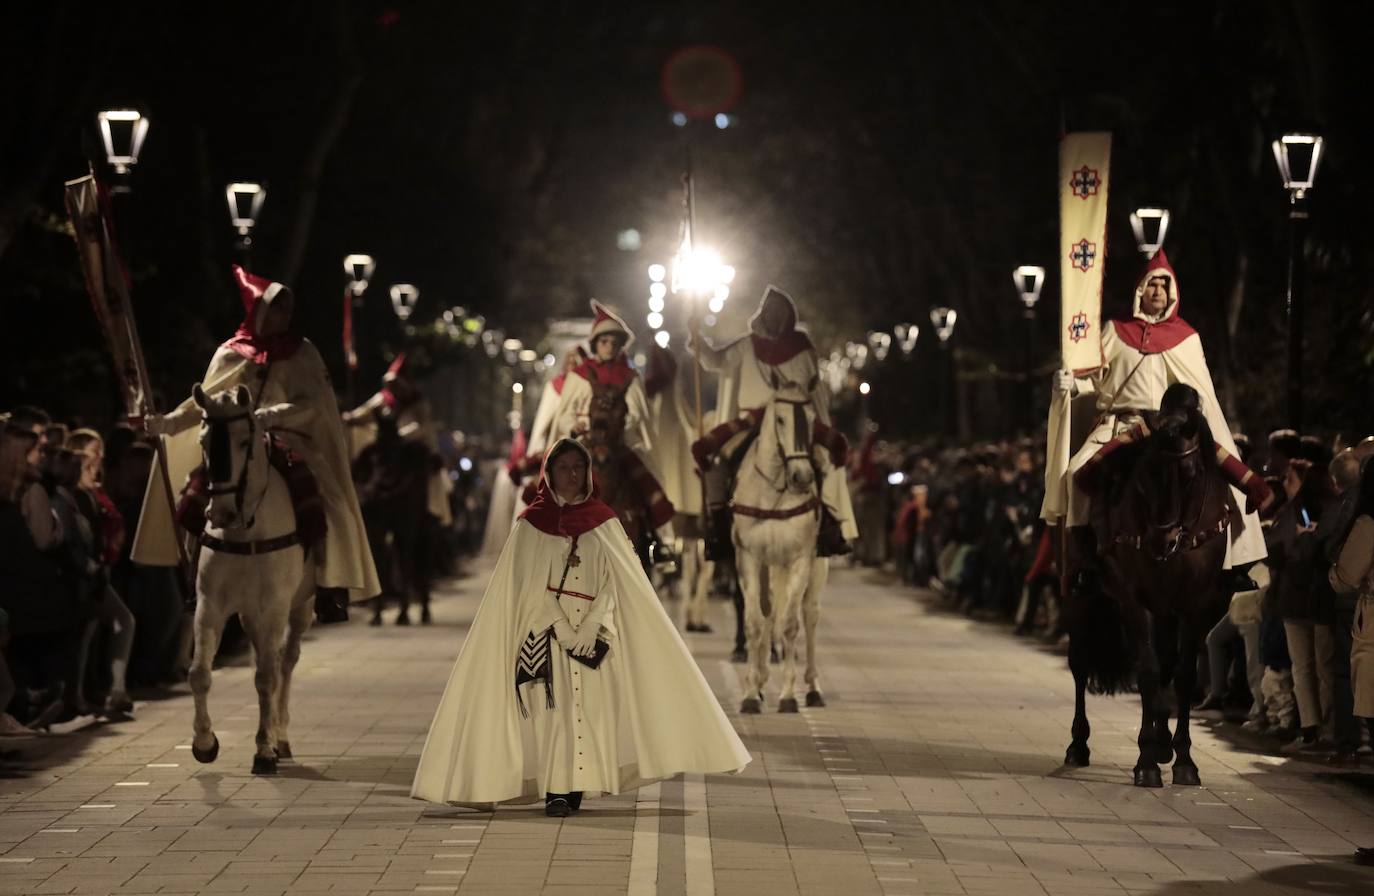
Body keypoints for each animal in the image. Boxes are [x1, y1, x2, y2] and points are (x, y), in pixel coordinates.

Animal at [188, 382, 314, 775]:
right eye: (203, 440)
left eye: (246, 441)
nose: (221, 513)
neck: (246, 532)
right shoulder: (210, 606)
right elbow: (199, 673)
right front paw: (204, 742)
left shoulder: (274, 607)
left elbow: (266, 678)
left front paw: (263, 750)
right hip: (249, 614)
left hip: (299, 607)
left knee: (285, 662)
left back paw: (280, 737)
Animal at [730, 398, 824, 714]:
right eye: (780, 419)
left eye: (812, 418)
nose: (802, 477)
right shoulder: (749, 558)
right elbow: (755, 621)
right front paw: (750, 692)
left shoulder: (799, 559)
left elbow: (791, 624)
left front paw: (787, 695)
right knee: (768, 609)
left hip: (815, 566)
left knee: (809, 614)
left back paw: (813, 688)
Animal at [1060, 387, 1236, 786]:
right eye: (1145, 472)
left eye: (1191, 474)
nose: (1160, 540)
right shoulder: (1134, 600)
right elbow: (1148, 669)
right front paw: (1146, 762)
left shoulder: (1196, 604)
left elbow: (1183, 674)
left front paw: (1182, 759)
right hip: (1078, 590)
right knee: (1080, 662)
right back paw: (1079, 744)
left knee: (1168, 664)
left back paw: (1163, 742)